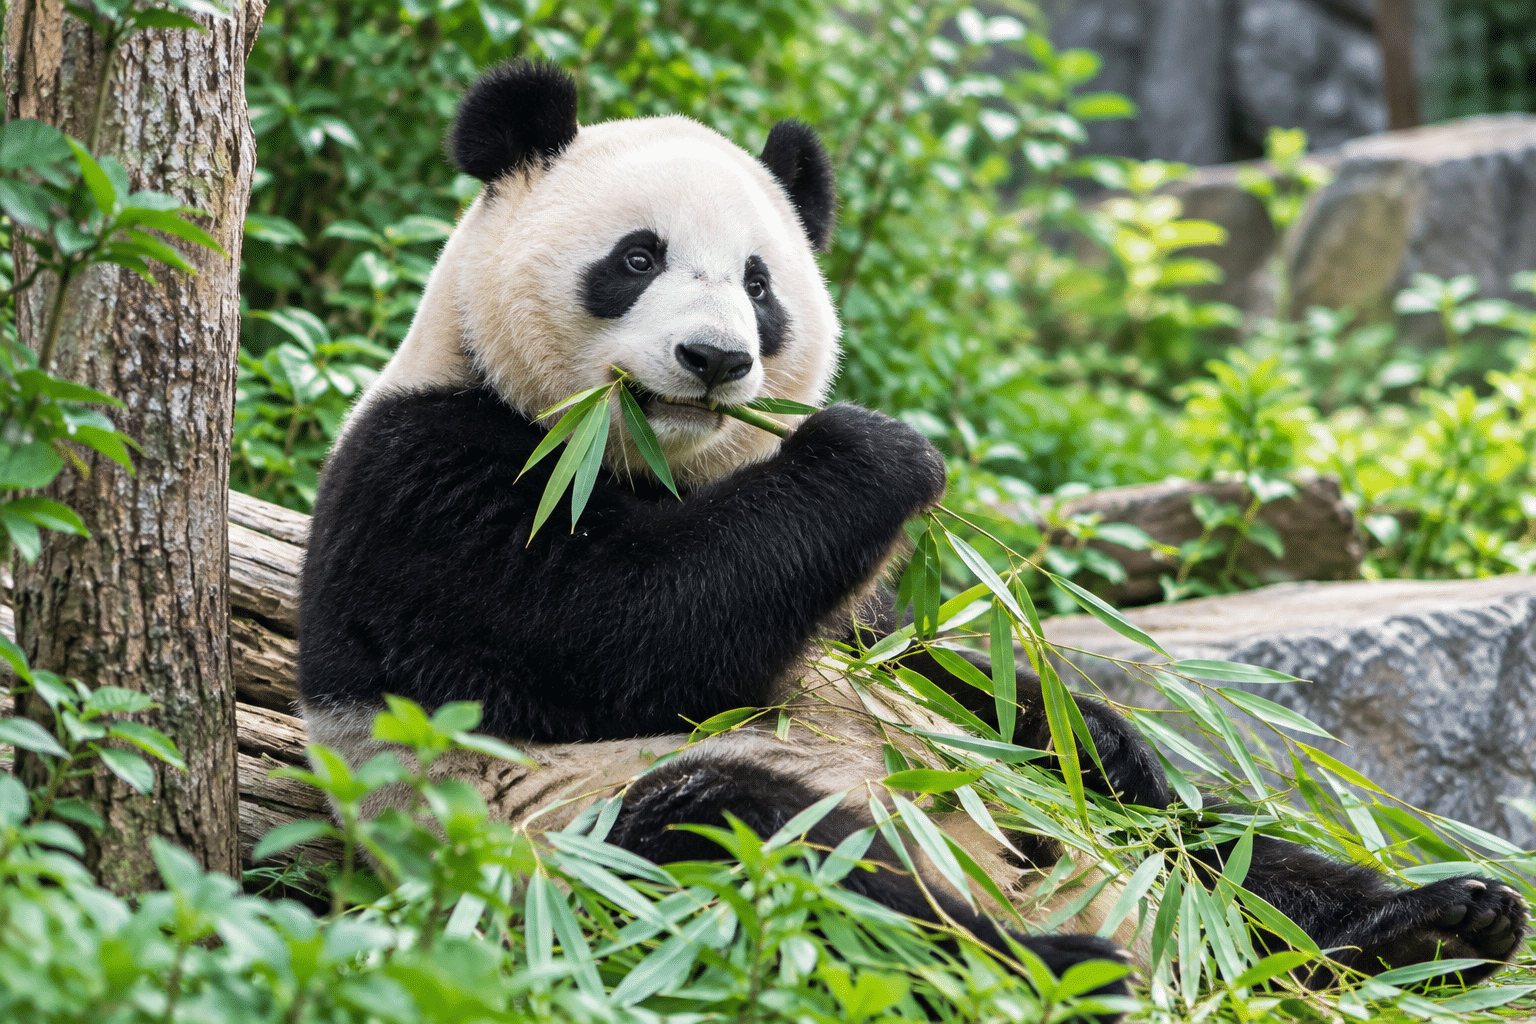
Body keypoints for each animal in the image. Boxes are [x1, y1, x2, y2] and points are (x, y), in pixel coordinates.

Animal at [298, 58, 1527, 989]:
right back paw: (1060, 963)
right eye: (637, 258)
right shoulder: (430, 480)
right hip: (578, 836)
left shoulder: (863, 604)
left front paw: (1095, 726)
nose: (715, 359)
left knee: (1208, 845)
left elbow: (927, 658)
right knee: (771, 846)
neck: (659, 463)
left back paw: (1431, 921)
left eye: (759, 285)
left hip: (1094, 835)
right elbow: (623, 636)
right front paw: (881, 450)